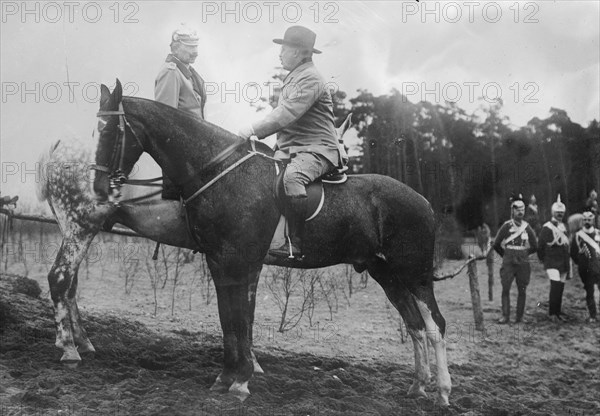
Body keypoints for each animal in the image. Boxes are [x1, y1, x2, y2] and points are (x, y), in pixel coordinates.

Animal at [65, 79, 450, 404]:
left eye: (111, 130)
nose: (98, 188)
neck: (221, 172)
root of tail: (425, 202)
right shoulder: (219, 262)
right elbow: (229, 321)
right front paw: (226, 377)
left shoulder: (240, 262)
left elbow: (239, 321)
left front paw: (240, 381)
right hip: (386, 274)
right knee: (415, 325)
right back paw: (418, 387)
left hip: (414, 274)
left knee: (435, 325)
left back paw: (442, 392)